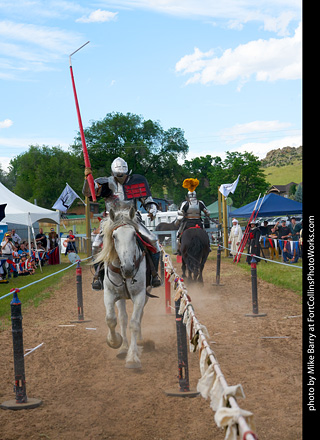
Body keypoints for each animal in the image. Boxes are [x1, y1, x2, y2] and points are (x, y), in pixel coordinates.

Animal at [95, 206, 149, 368]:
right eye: (114, 236)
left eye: (134, 234)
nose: (129, 268)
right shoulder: (110, 294)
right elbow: (112, 319)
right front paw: (115, 342)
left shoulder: (140, 295)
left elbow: (134, 323)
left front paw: (132, 358)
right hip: (121, 298)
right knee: (123, 318)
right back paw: (124, 347)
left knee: (139, 316)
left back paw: (139, 340)